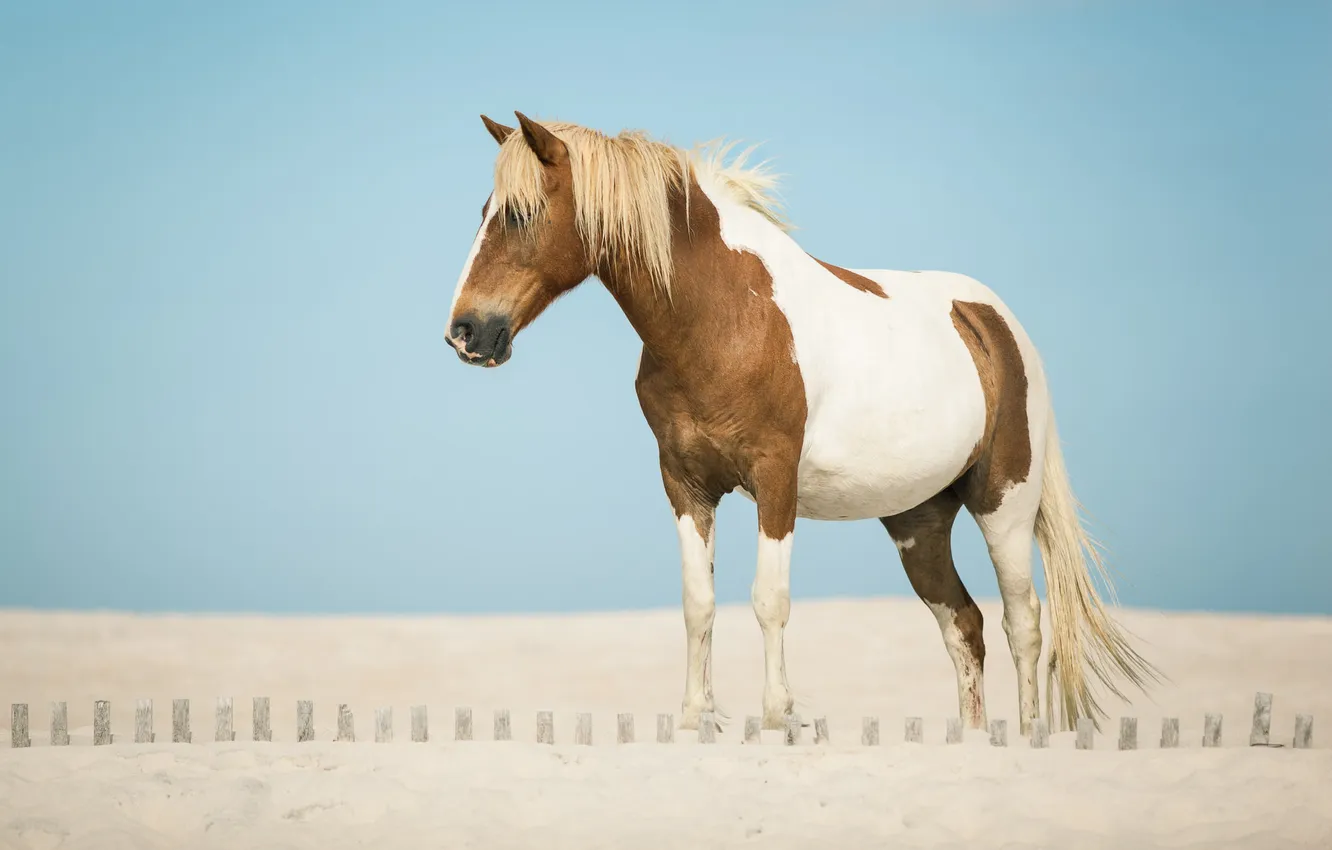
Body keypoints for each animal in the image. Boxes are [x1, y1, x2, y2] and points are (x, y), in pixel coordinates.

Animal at [445, 111, 1159, 735]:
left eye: (519, 213)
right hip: (919, 523)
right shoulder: (684, 483)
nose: (466, 332)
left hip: (1005, 504)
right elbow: (698, 603)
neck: (724, 315)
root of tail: (994, 321)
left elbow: (770, 600)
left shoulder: (775, 479)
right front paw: (694, 720)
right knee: (964, 626)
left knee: (1024, 622)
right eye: (484, 212)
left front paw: (776, 718)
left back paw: (1031, 732)